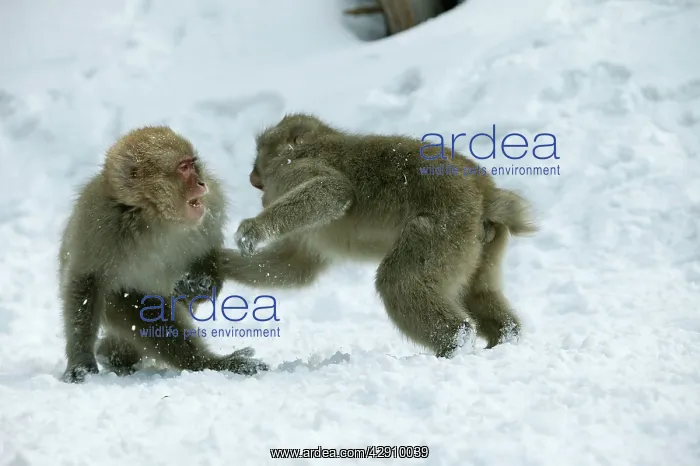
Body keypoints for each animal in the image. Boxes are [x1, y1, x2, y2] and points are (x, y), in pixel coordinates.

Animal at [58, 126, 269, 383]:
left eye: (193, 164)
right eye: (183, 168)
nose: (201, 183)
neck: (155, 217)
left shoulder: (211, 207)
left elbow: (207, 253)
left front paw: (201, 284)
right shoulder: (98, 221)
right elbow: (87, 282)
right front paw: (81, 362)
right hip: (116, 304)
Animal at [221, 113, 537, 358]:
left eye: (261, 153)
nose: (252, 177)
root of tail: (485, 192)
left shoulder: (294, 172)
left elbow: (334, 191)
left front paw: (253, 230)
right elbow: (297, 268)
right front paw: (219, 262)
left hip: (444, 229)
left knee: (398, 281)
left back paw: (455, 342)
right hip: (481, 243)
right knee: (479, 290)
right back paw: (505, 336)